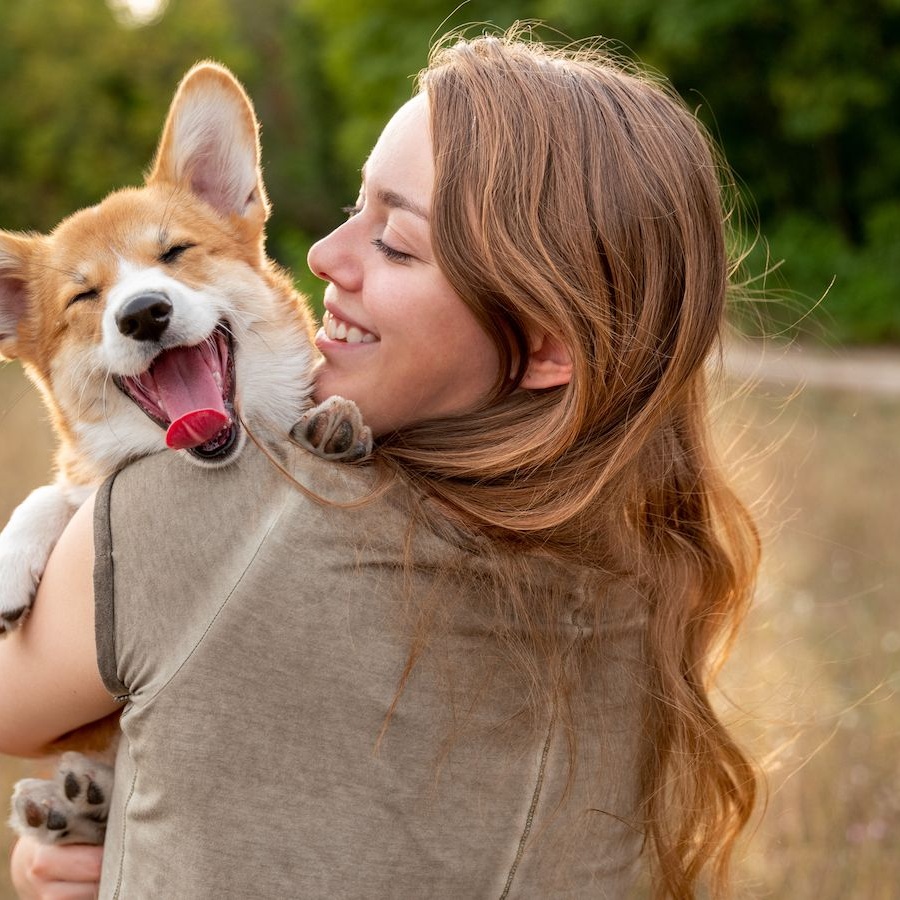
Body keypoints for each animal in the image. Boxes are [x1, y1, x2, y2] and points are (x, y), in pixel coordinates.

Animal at [0, 63, 370, 844]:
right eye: (84, 297)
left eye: (174, 253)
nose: (143, 313)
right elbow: (58, 491)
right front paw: (11, 562)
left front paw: (338, 420)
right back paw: (70, 803)